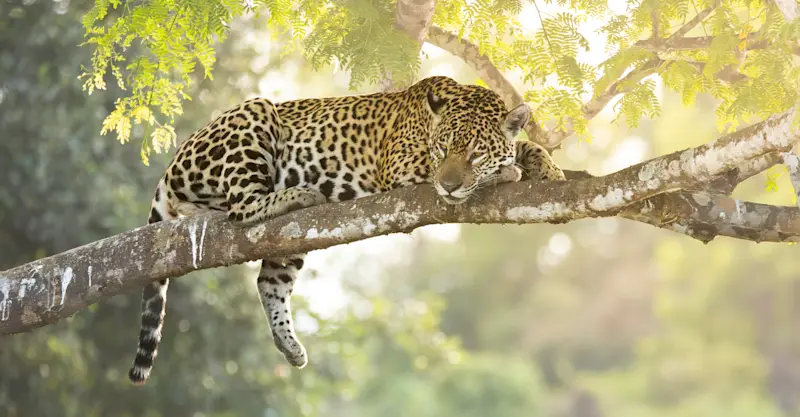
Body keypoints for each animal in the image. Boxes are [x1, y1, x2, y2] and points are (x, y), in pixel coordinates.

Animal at [128, 75, 566, 386]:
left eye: (475, 153)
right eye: (442, 150)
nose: (450, 186)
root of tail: (172, 162)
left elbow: (527, 146)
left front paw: (549, 170)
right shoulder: (402, 166)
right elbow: (459, 169)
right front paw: (507, 172)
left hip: (290, 237)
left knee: (268, 281)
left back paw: (290, 345)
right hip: (255, 115)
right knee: (242, 205)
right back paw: (300, 194)